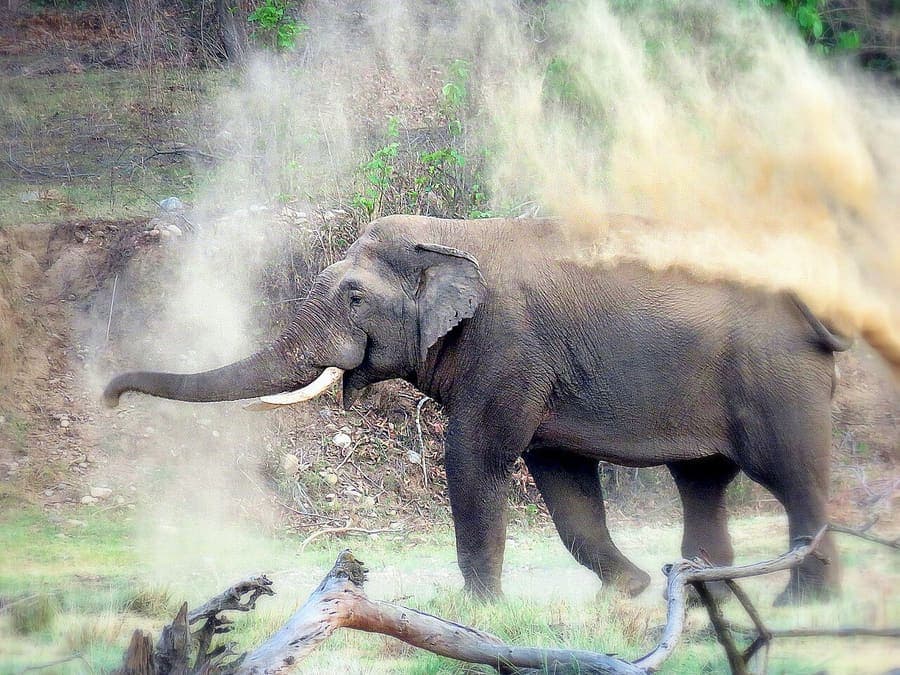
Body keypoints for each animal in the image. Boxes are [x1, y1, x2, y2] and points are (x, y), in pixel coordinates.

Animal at [105, 214, 854, 605]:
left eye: (353, 296)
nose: (109, 397)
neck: (449, 236)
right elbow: (560, 476)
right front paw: (628, 593)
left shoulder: (508, 345)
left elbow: (475, 456)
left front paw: (478, 611)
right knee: (702, 481)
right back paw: (701, 598)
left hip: (775, 377)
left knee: (793, 477)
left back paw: (798, 602)